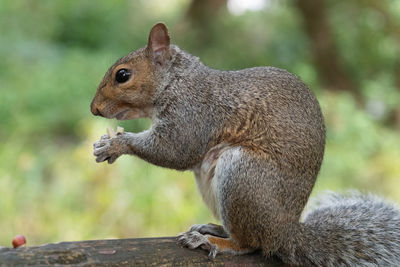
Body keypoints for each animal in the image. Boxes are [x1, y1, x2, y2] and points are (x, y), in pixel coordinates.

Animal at [90, 23, 400, 267]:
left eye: (122, 75)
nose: (94, 110)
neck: (177, 81)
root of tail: (286, 233)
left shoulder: (194, 114)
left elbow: (176, 150)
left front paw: (116, 145)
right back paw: (214, 228)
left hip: (243, 176)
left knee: (251, 244)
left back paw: (212, 241)